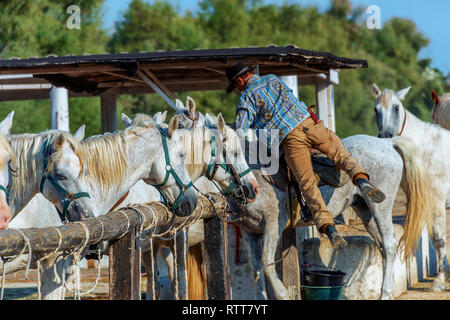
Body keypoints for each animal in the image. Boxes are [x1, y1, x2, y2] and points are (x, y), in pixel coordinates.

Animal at [372, 84, 450, 292]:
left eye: (396, 108)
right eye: (376, 109)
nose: (385, 136)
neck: (425, 149)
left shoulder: (438, 201)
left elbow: (440, 238)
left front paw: (440, 280)